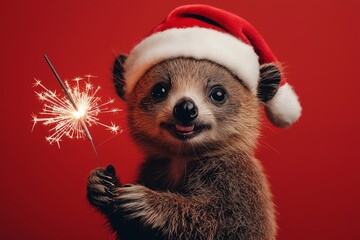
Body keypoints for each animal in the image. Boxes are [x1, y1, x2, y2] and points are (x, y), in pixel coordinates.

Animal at [86, 4, 300, 240]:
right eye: (159, 89)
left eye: (218, 93)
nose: (186, 109)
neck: (183, 159)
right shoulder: (154, 169)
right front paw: (99, 184)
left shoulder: (240, 188)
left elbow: (221, 223)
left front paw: (149, 202)